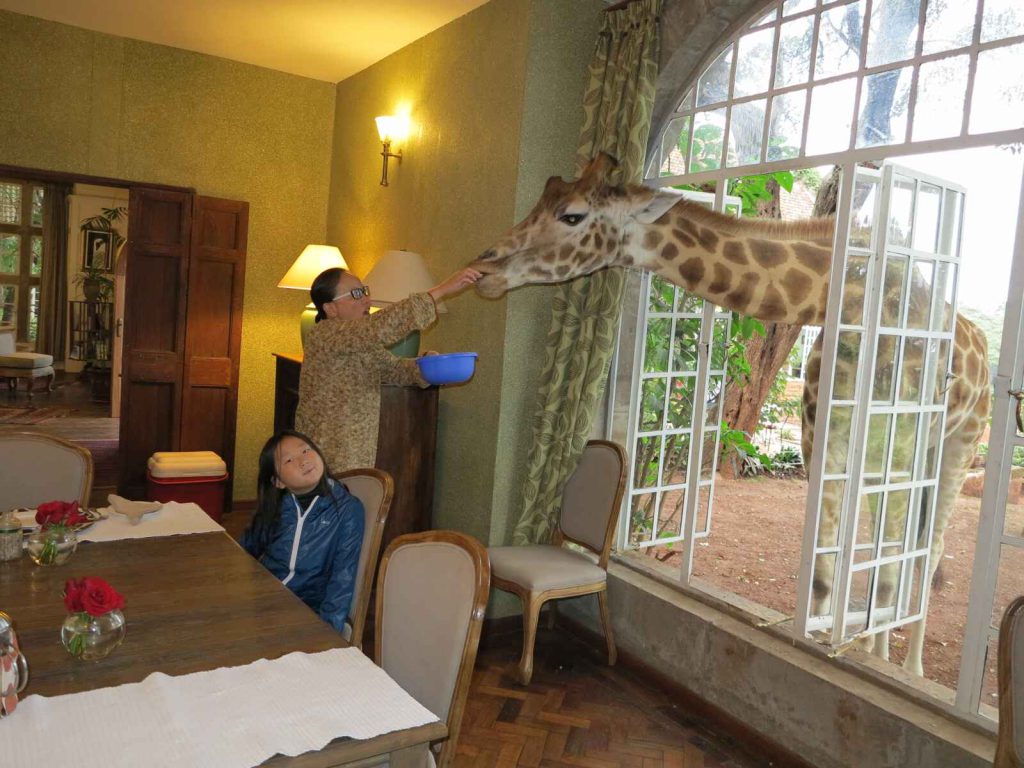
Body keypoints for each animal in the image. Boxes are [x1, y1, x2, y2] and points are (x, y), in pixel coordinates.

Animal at [470, 153, 992, 676]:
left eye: (572, 215)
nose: (483, 266)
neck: (853, 300)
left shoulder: (898, 445)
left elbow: (886, 570)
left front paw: (869, 660)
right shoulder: (821, 442)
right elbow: (826, 575)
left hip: (956, 446)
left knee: (923, 551)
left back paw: (908, 668)